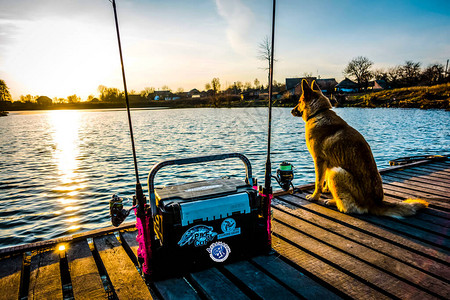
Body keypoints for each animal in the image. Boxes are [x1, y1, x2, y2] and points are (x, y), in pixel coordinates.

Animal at [290, 79, 428, 218]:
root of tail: (375, 203)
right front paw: (325, 190)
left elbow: (318, 182)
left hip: (336, 172)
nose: (291, 111)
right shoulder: (326, 164)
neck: (319, 113)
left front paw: (314, 197)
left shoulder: (319, 160)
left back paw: (333, 202)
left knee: (352, 208)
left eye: (299, 102)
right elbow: (323, 181)